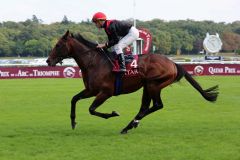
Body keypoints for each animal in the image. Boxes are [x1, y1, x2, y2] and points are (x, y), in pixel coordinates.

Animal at [47, 30, 219, 134]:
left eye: (58, 45)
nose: (48, 61)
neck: (94, 62)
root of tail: (173, 63)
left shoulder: (105, 92)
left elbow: (91, 109)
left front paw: (112, 114)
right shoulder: (91, 90)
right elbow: (74, 99)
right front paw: (73, 121)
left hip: (153, 84)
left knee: (157, 105)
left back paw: (131, 124)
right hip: (147, 87)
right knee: (146, 107)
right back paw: (131, 124)